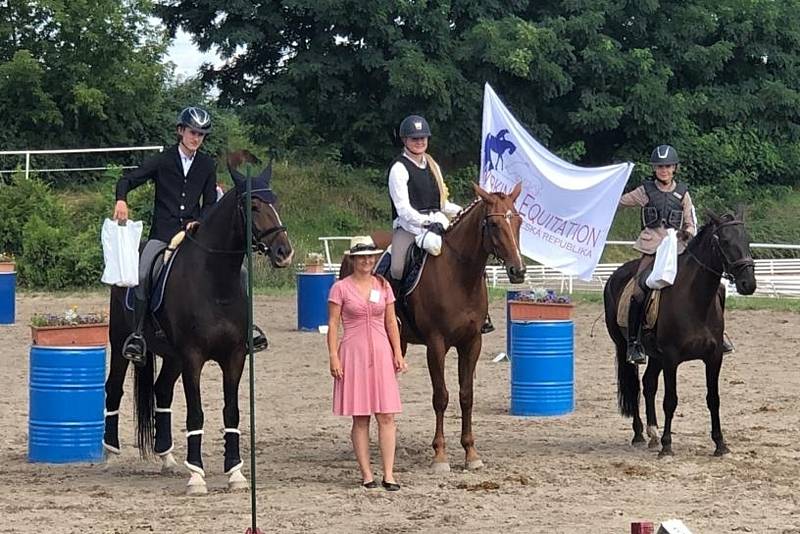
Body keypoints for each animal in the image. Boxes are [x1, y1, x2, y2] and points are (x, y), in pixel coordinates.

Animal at [104, 159, 294, 498]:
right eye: (253, 205)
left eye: (276, 202)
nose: (284, 252)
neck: (215, 281)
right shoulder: (193, 357)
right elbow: (196, 413)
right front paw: (196, 476)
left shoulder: (234, 357)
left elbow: (231, 412)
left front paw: (235, 473)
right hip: (122, 342)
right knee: (114, 388)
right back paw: (110, 455)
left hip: (172, 357)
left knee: (162, 391)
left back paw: (166, 457)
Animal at [340, 184, 528, 474]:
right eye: (495, 224)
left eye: (518, 221)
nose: (518, 271)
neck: (460, 274)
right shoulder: (436, 345)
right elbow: (441, 396)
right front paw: (440, 455)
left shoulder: (472, 343)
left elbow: (466, 395)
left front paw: (471, 453)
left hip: (398, 341)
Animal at [608, 208, 756, 456]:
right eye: (724, 241)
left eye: (746, 240)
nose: (749, 283)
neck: (695, 300)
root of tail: (615, 275)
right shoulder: (671, 358)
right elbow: (670, 400)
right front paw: (667, 446)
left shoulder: (714, 358)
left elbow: (713, 399)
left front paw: (720, 444)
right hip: (624, 348)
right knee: (635, 385)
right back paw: (640, 434)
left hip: (655, 355)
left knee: (648, 384)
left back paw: (653, 434)